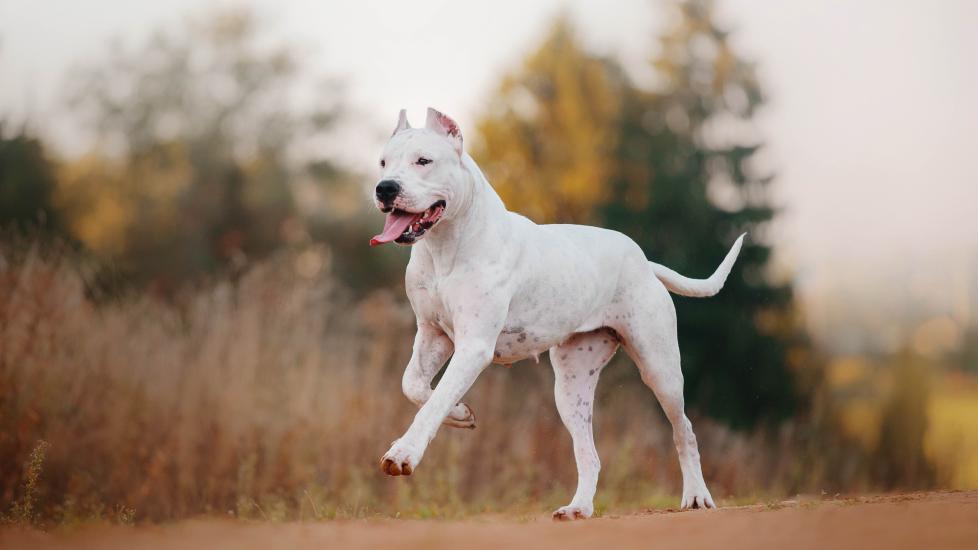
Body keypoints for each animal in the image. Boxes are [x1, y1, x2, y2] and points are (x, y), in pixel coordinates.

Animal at [370, 108, 744, 520]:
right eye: (384, 162)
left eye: (424, 161)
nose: (385, 188)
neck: (444, 247)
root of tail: (645, 262)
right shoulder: (432, 334)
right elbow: (414, 385)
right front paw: (461, 412)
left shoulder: (474, 346)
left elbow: (431, 404)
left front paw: (404, 453)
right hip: (570, 386)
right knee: (589, 454)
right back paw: (578, 507)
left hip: (660, 369)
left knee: (684, 431)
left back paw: (696, 495)